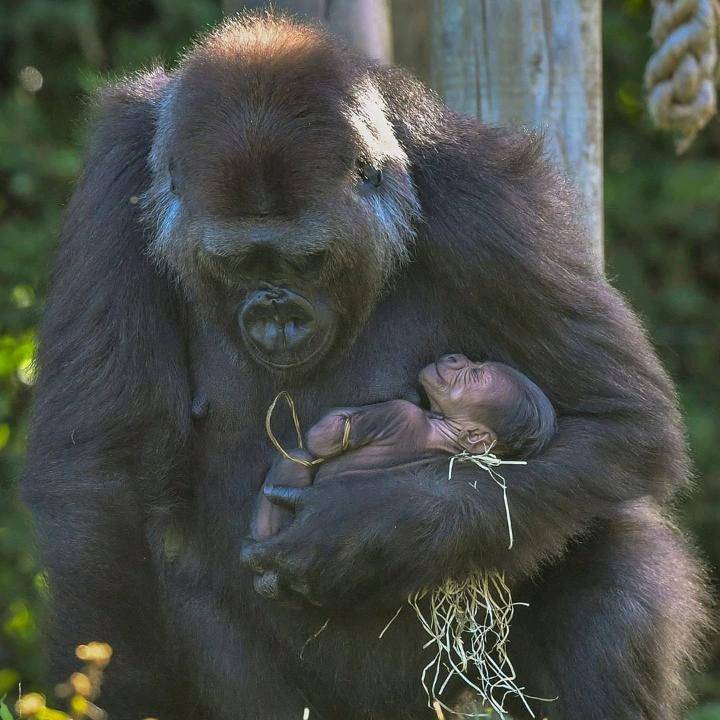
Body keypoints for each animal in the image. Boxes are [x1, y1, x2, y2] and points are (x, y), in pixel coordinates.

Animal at [253, 354, 556, 540]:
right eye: (477, 364)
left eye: (475, 374)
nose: (455, 357)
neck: (447, 433)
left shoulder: (399, 413)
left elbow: (324, 438)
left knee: (294, 459)